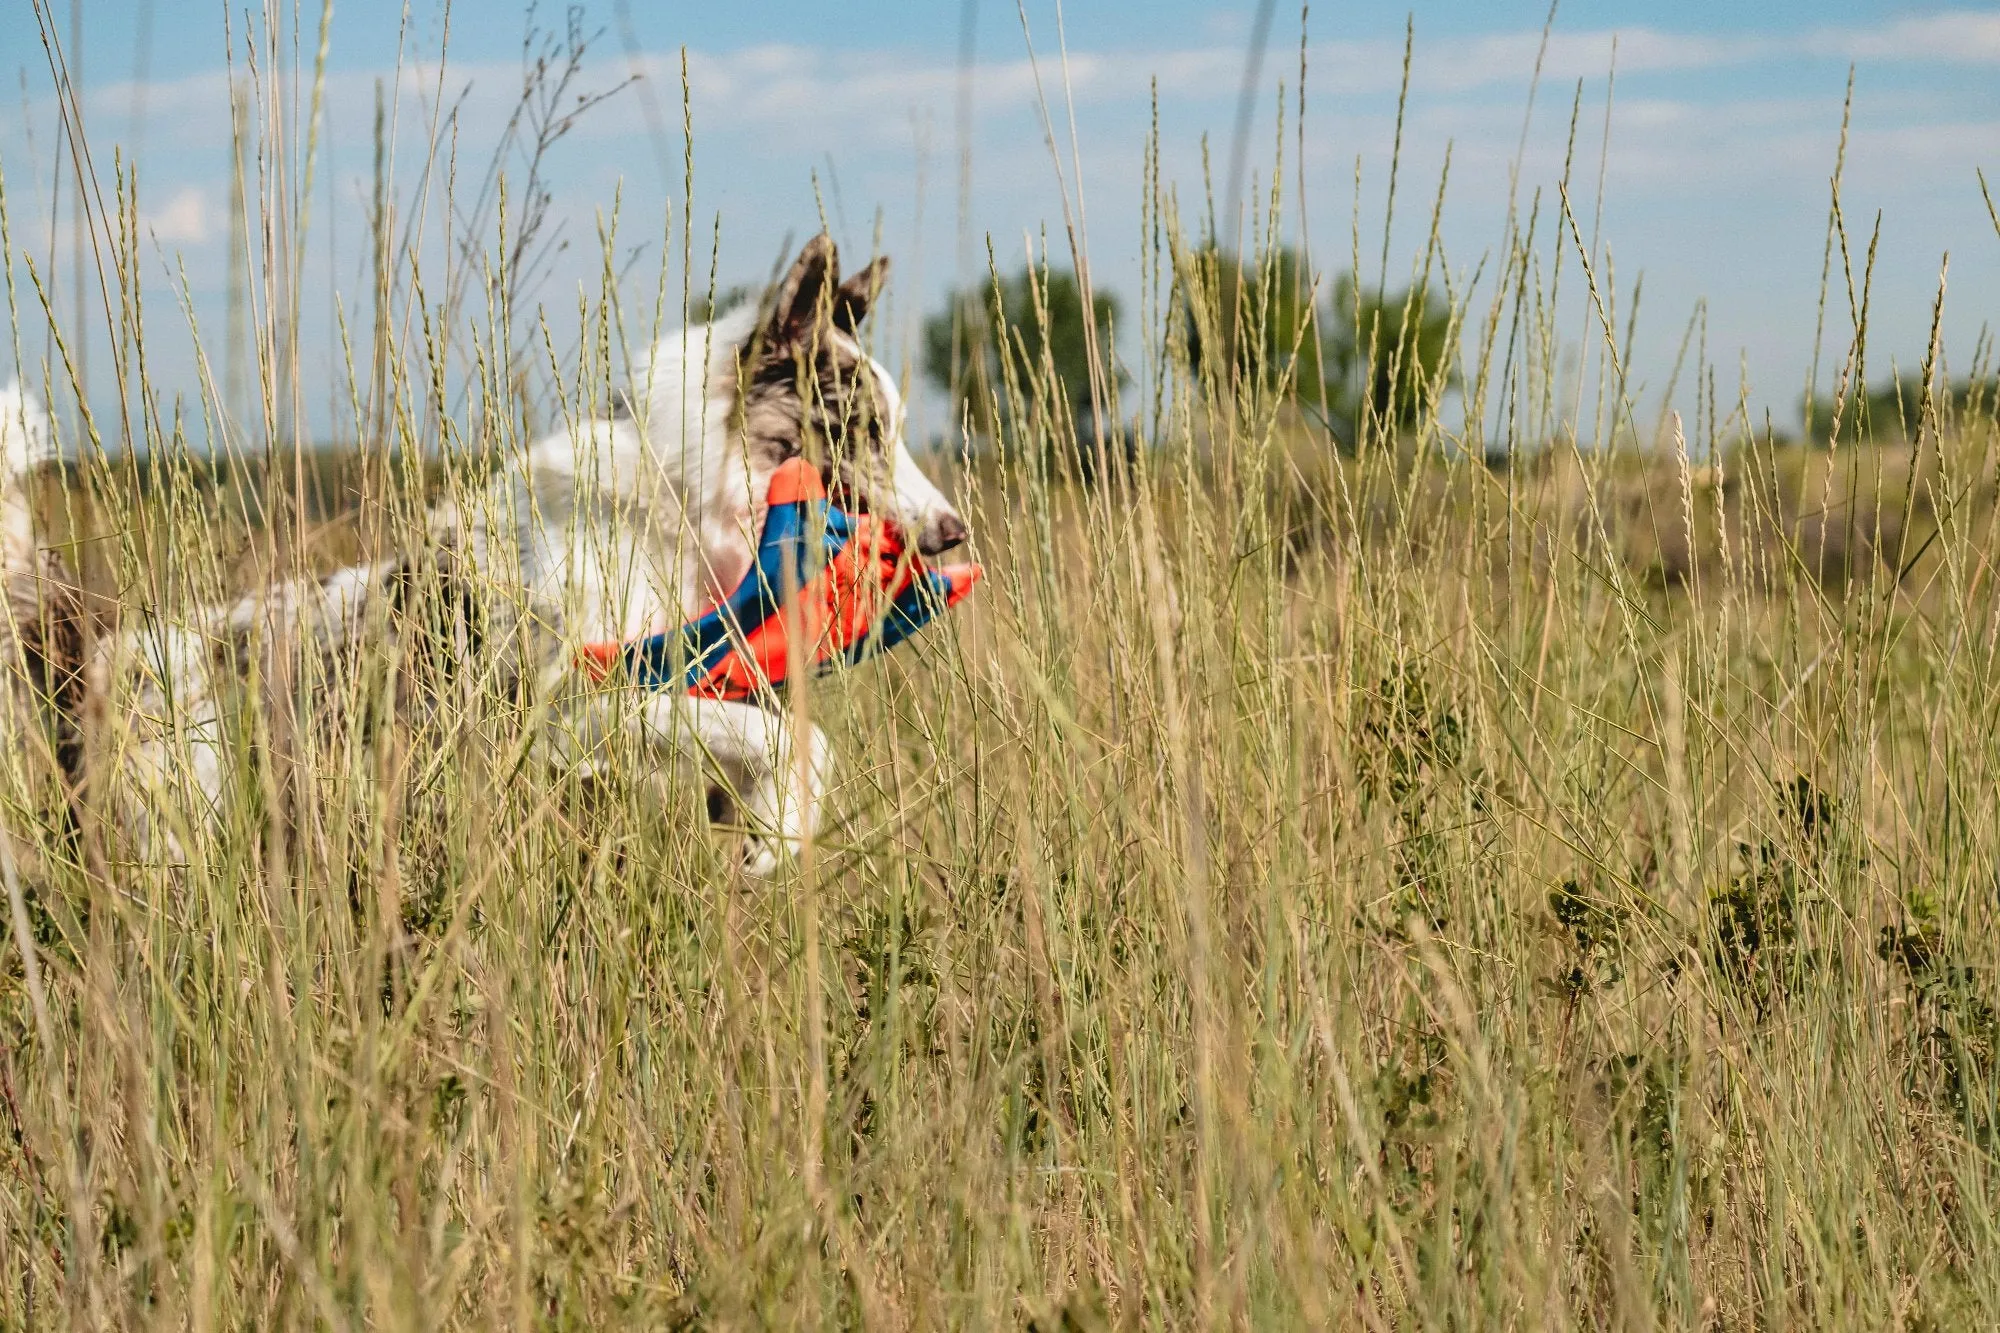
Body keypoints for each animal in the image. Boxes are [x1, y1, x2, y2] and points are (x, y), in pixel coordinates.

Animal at [0, 233, 968, 876]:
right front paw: (774, 837)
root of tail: (96, 651)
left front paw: (776, 829)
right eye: (863, 429)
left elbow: (794, 745)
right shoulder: (572, 708)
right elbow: (784, 733)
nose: (956, 531)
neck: (677, 497)